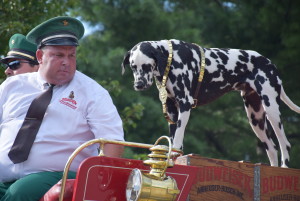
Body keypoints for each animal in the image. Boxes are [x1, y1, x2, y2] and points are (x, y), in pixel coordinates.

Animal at [120, 39, 298, 168]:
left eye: (147, 66)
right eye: (133, 67)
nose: (139, 85)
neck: (171, 57)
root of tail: (269, 63)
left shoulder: (185, 105)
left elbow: (178, 137)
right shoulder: (171, 110)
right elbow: (174, 138)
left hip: (272, 110)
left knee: (285, 144)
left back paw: (284, 168)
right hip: (256, 119)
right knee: (272, 148)